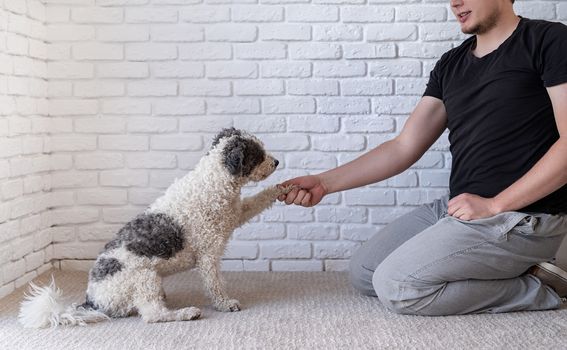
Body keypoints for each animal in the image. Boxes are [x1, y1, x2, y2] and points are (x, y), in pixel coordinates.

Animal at [18, 129, 292, 328]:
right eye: (258, 154)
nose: (277, 161)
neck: (213, 182)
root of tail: (93, 300)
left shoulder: (236, 214)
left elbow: (259, 199)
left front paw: (284, 188)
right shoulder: (208, 254)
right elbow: (215, 284)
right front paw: (225, 304)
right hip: (144, 277)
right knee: (153, 315)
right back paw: (186, 313)